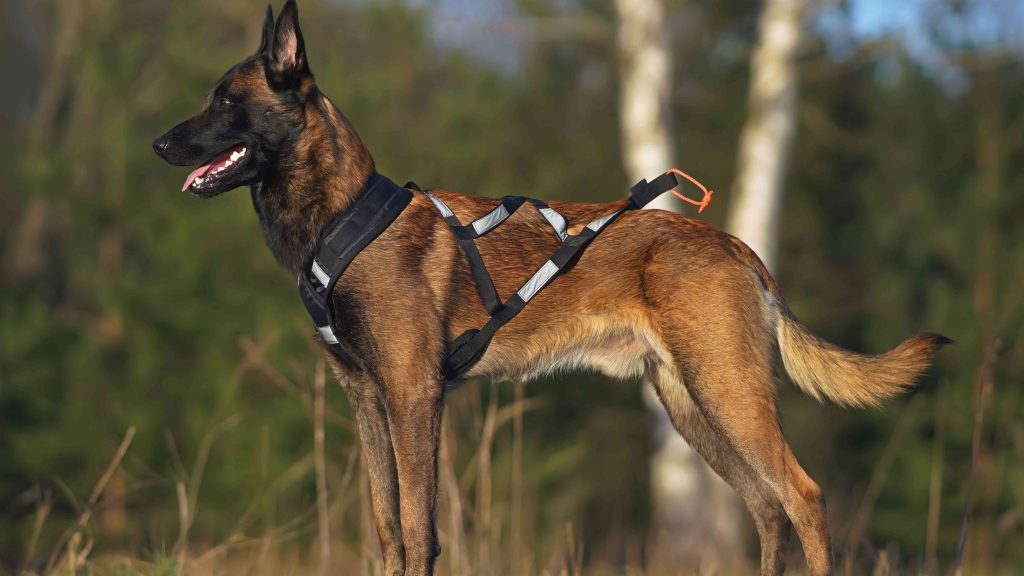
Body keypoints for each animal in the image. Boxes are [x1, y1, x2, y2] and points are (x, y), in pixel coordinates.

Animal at [151, 2, 950, 569]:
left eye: (226, 102)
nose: (158, 143)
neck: (343, 219)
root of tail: (737, 245)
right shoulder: (366, 400)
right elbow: (387, 527)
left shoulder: (413, 397)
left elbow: (418, 526)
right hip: (693, 406)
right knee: (768, 509)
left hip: (727, 392)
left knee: (804, 499)